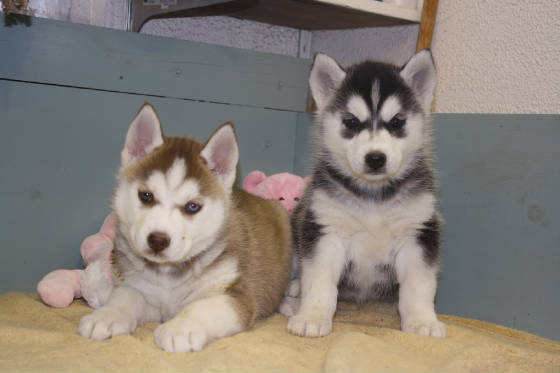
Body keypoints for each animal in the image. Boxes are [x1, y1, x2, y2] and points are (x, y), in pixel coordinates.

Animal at [79, 104, 294, 352]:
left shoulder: (236, 295)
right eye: (146, 196)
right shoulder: (141, 290)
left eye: (192, 206)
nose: (158, 240)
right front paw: (106, 316)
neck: (167, 275)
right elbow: (125, 296)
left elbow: (200, 307)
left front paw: (180, 328)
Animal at [282, 50, 444, 338]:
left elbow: (418, 285)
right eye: (351, 122)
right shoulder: (326, 230)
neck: (374, 197)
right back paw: (294, 297)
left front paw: (422, 320)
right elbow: (319, 282)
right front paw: (312, 315)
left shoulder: (418, 233)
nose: (376, 158)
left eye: (397, 122)